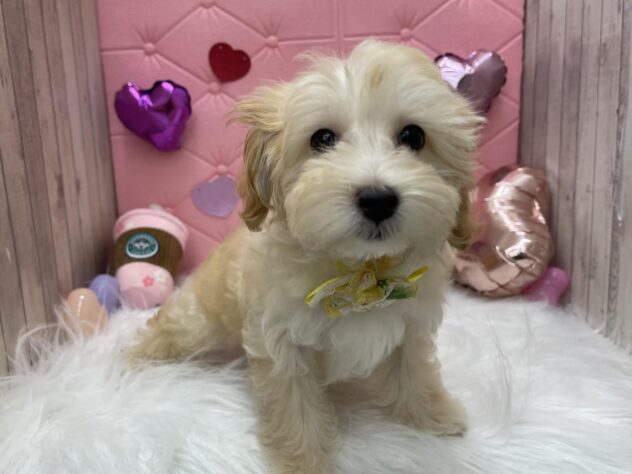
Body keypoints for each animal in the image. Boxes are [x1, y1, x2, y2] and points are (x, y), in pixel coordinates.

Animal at [129, 40, 483, 474]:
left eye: (414, 136)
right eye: (322, 138)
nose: (377, 199)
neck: (360, 270)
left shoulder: (411, 323)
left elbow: (415, 372)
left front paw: (433, 416)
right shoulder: (281, 340)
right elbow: (294, 407)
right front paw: (303, 462)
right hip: (200, 320)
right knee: (167, 329)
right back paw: (132, 365)